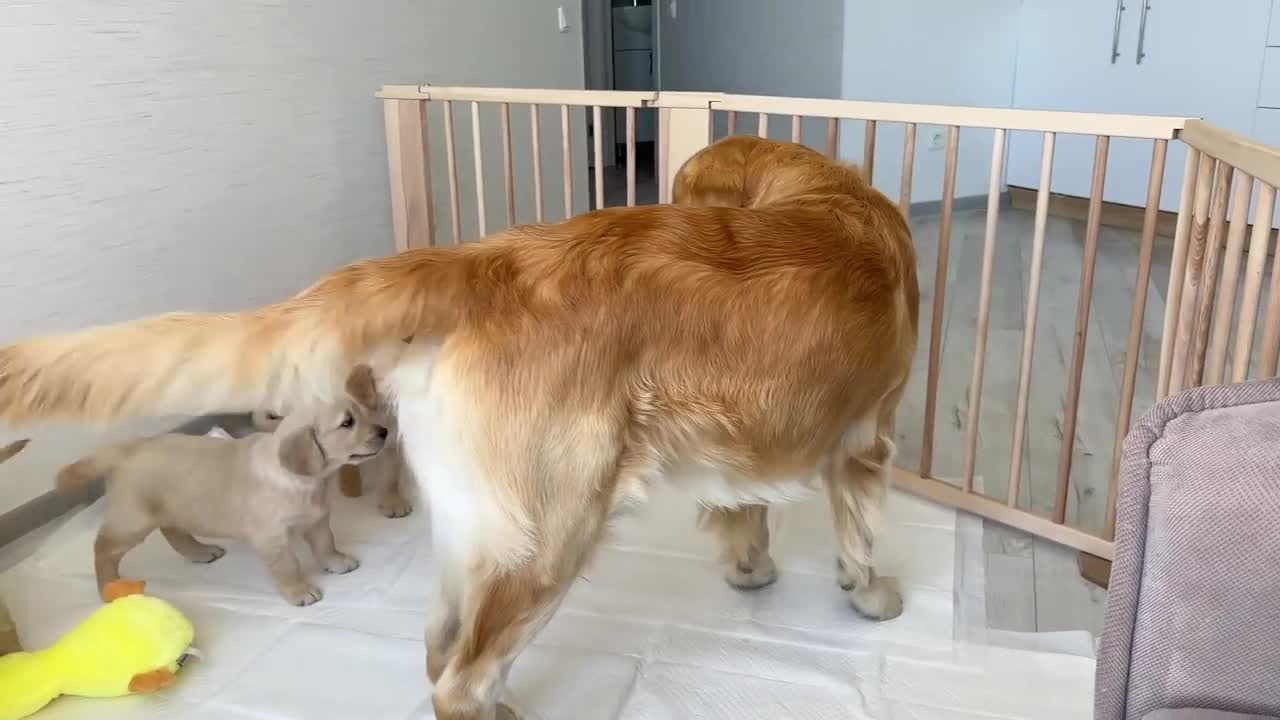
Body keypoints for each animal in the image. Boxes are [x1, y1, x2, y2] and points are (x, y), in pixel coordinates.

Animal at [0, 135, 921, 717]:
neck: (825, 195)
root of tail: (489, 261)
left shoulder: (756, 436)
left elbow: (745, 506)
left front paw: (750, 567)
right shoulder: (867, 438)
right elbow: (859, 531)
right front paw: (870, 594)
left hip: (481, 527)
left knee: (443, 643)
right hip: (551, 537)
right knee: (461, 680)